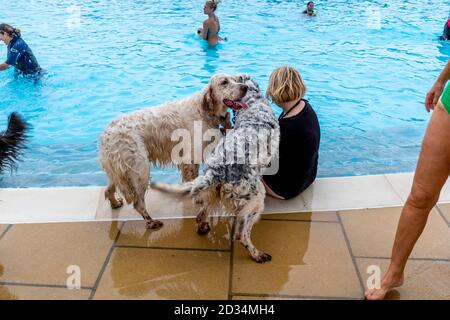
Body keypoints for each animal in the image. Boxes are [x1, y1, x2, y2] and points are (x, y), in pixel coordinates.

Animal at [98, 74, 248, 229]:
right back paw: (151, 222)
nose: (245, 87)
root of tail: (106, 135)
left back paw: (115, 203)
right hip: (140, 170)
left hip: (119, 171)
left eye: (236, 79)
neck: (204, 110)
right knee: (138, 203)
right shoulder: (190, 158)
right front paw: (198, 198)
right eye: (224, 82)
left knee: (108, 189)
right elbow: (193, 181)